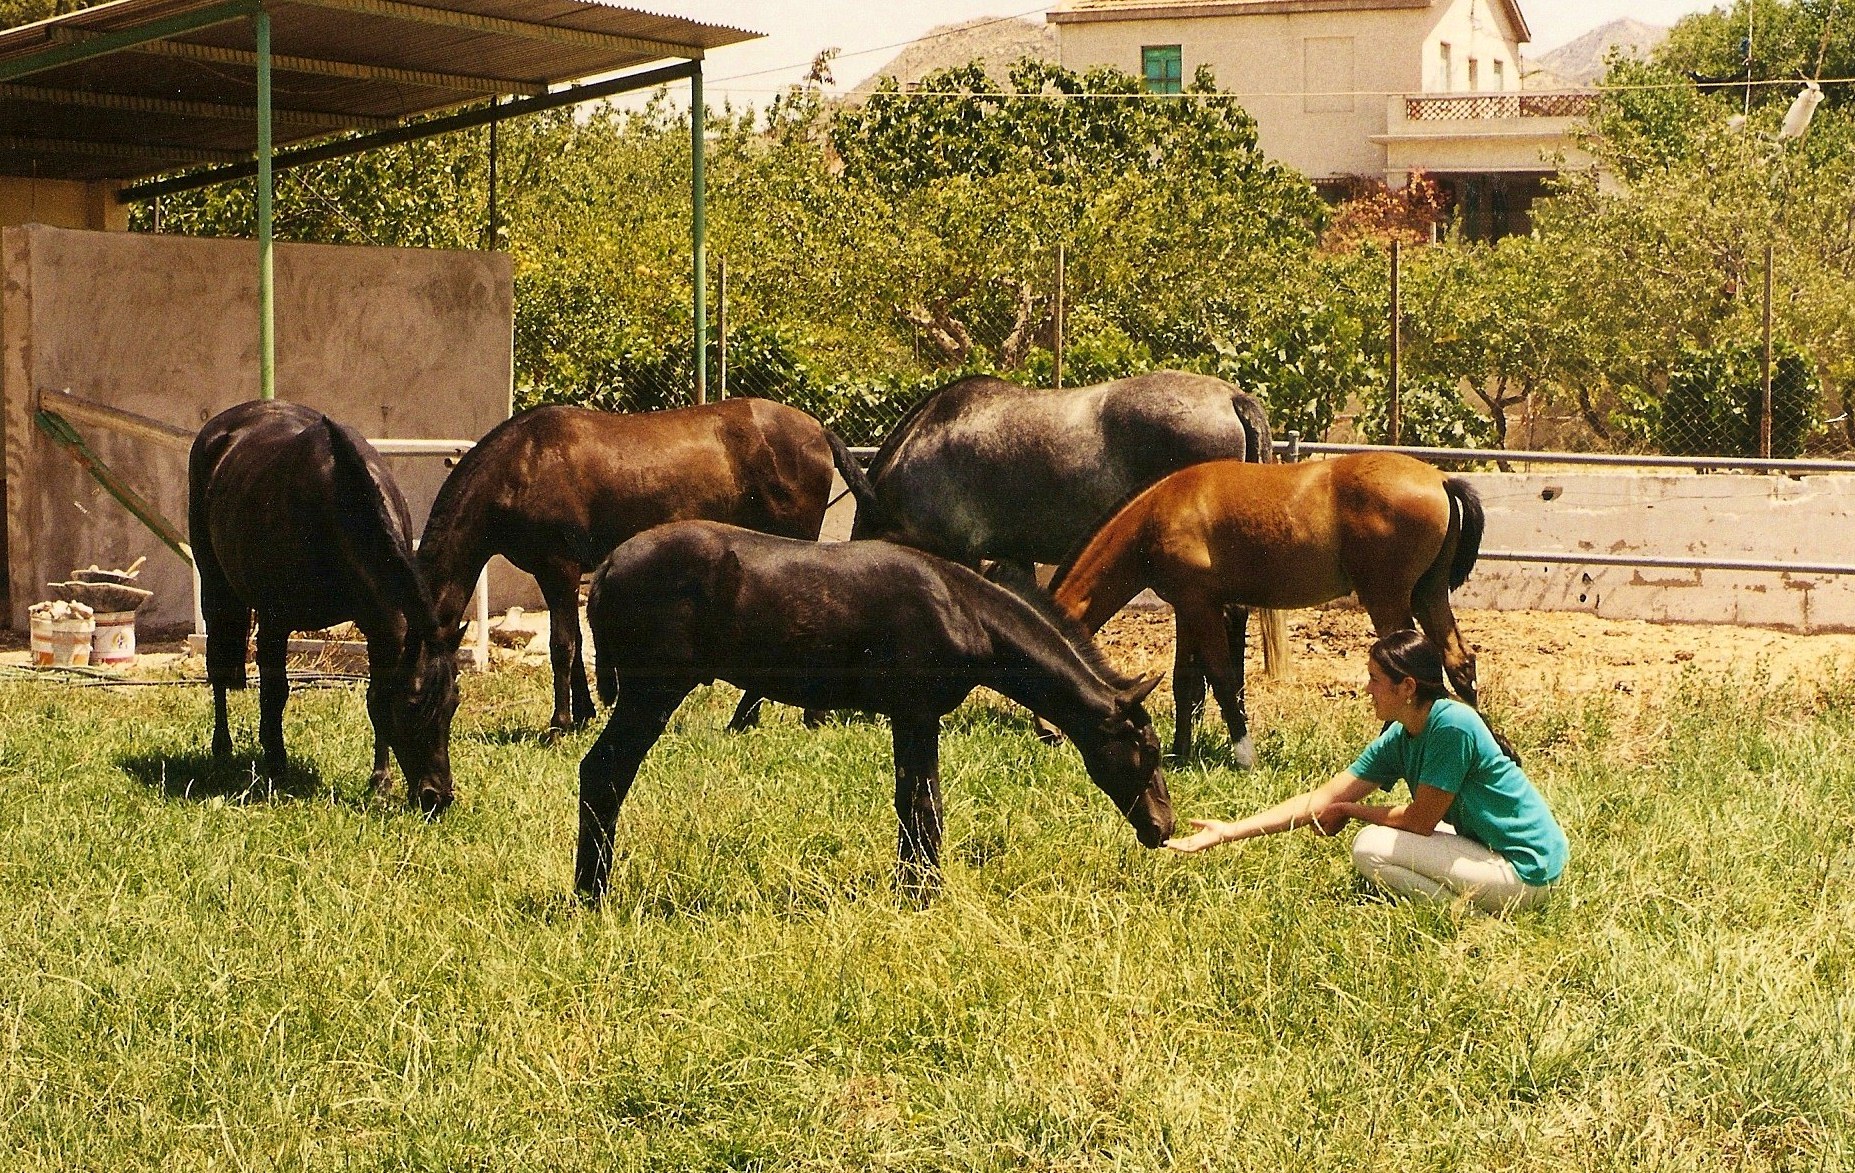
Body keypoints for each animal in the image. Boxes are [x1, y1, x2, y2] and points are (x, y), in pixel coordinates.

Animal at [189, 401, 460, 812]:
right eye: (414, 707)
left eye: (452, 705)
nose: (437, 796)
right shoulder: (275, 620)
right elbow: (275, 692)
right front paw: (276, 767)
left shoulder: (379, 626)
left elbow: (376, 699)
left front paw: (380, 781)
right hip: (216, 589)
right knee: (218, 668)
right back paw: (223, 749)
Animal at [417, 399, 868, 734]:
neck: (522, 464)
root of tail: (818, 431)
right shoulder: (561, 574)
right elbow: (577, 644)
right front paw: (583, 714)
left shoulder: (558, 568)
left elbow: (562, 646)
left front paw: (559, 723)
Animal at [573, 521, 1174, 903]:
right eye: (1146, 751)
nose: (1163, 827)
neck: (962, 608)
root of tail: (605, 568)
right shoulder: (917, 712)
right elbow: (924, 807)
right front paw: (924, 896)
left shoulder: (910, 717)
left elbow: (912, 806)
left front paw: (914, 889)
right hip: (652, 695)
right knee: (603, 773)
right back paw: (592, 895)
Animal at [1048, 451, 1485, 762]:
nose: (1047, 734)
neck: (1159, 512)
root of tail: (1440, 478)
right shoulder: (1187, 608)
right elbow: (1184, 681)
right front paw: (1180, 754)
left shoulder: (1203, 608)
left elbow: (1222, 678)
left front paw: (1244, 757)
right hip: (1429, 594)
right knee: (1459, 662)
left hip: (1387, 599)